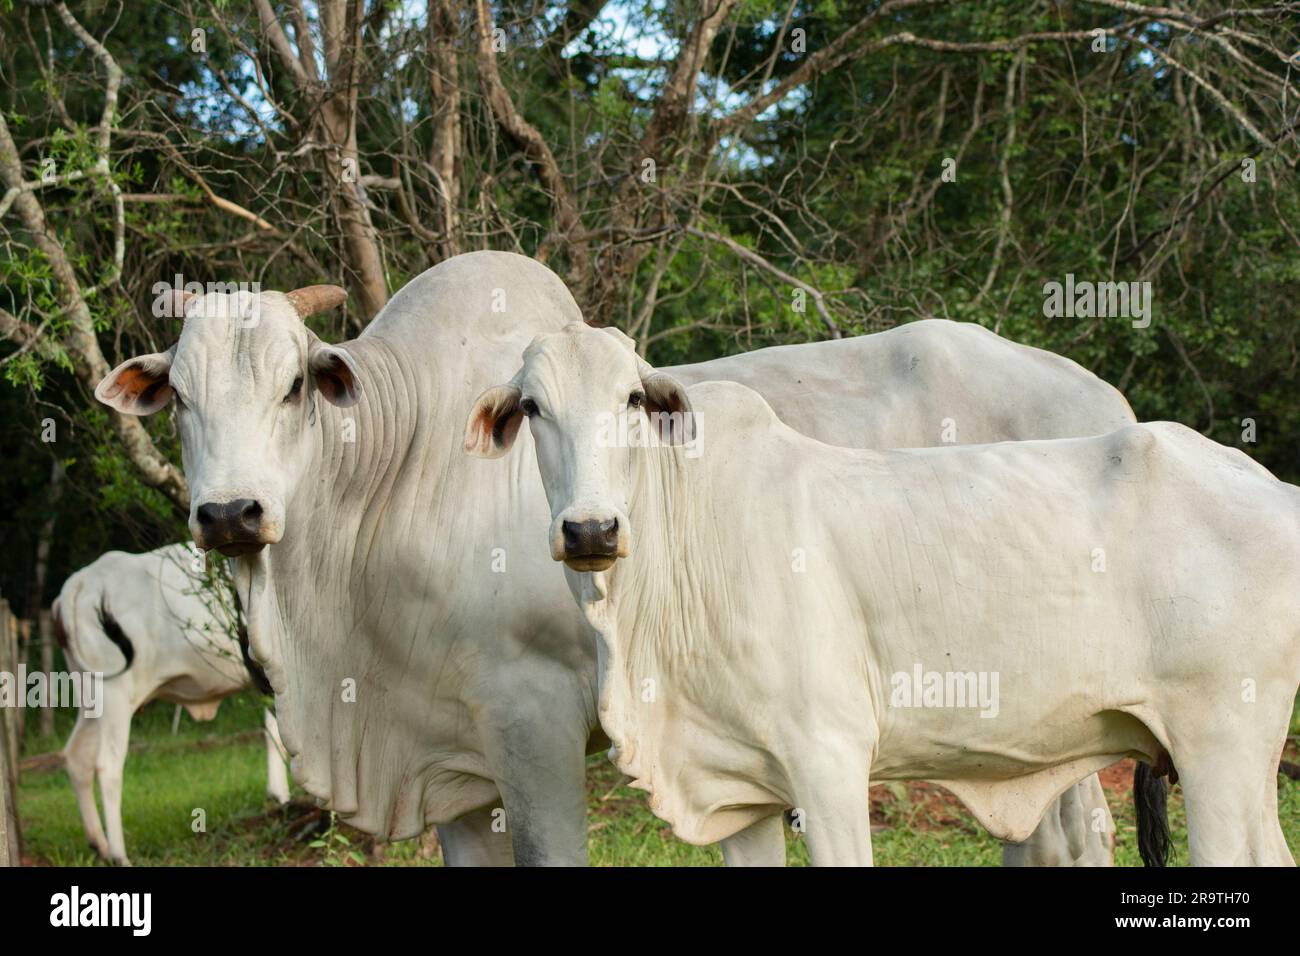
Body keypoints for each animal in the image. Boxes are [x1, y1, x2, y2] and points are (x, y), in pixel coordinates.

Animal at [52, 544, 289, 866]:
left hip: (90, 696)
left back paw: (98, 843)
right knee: (107, 766)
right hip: (114, 694)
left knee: (77, 757)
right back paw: (118, 853)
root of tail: (81, 580)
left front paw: (281, 795)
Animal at [97, 252, 1132, 866]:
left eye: (292, 387)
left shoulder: (534, 721)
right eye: (179, 396)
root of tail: (1100, 393)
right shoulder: (451, 764)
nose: (230, 513)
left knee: (1078, 835)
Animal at [465, 321, 1300, 866]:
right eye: (533, 408)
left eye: (633, 400)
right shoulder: (743, 791)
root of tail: (1269, 483)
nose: (590, 529)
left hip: (1221, 747)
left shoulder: (829, 760)